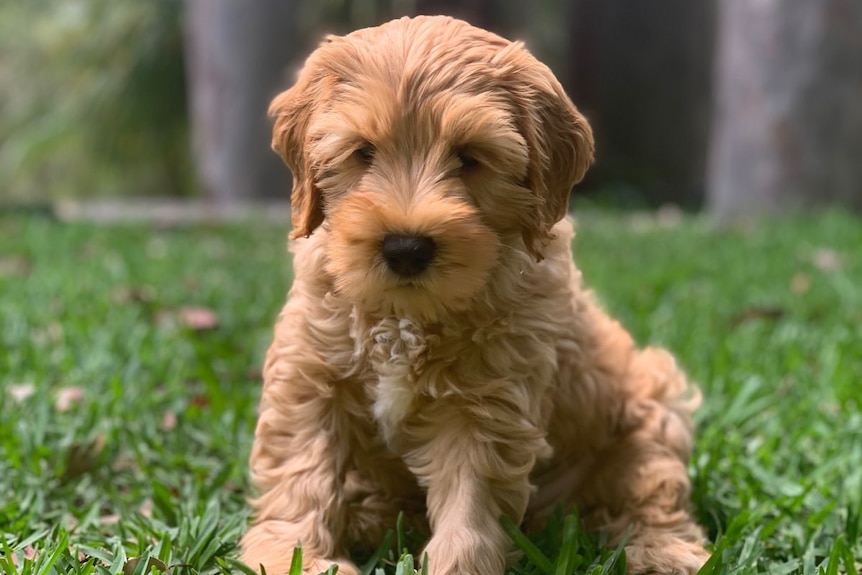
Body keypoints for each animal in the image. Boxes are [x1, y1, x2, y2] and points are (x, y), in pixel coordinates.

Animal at [241, 13, 708, 575]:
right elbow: (300, 471)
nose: (406, 248)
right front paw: (296, 555)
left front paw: (455, 563)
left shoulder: (486, 406)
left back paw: (664, 550)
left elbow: (469, 501)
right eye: (363, 153)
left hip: (656, 406)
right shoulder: (310, 378)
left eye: (469, 158)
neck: (405, 317)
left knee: (652, 490)